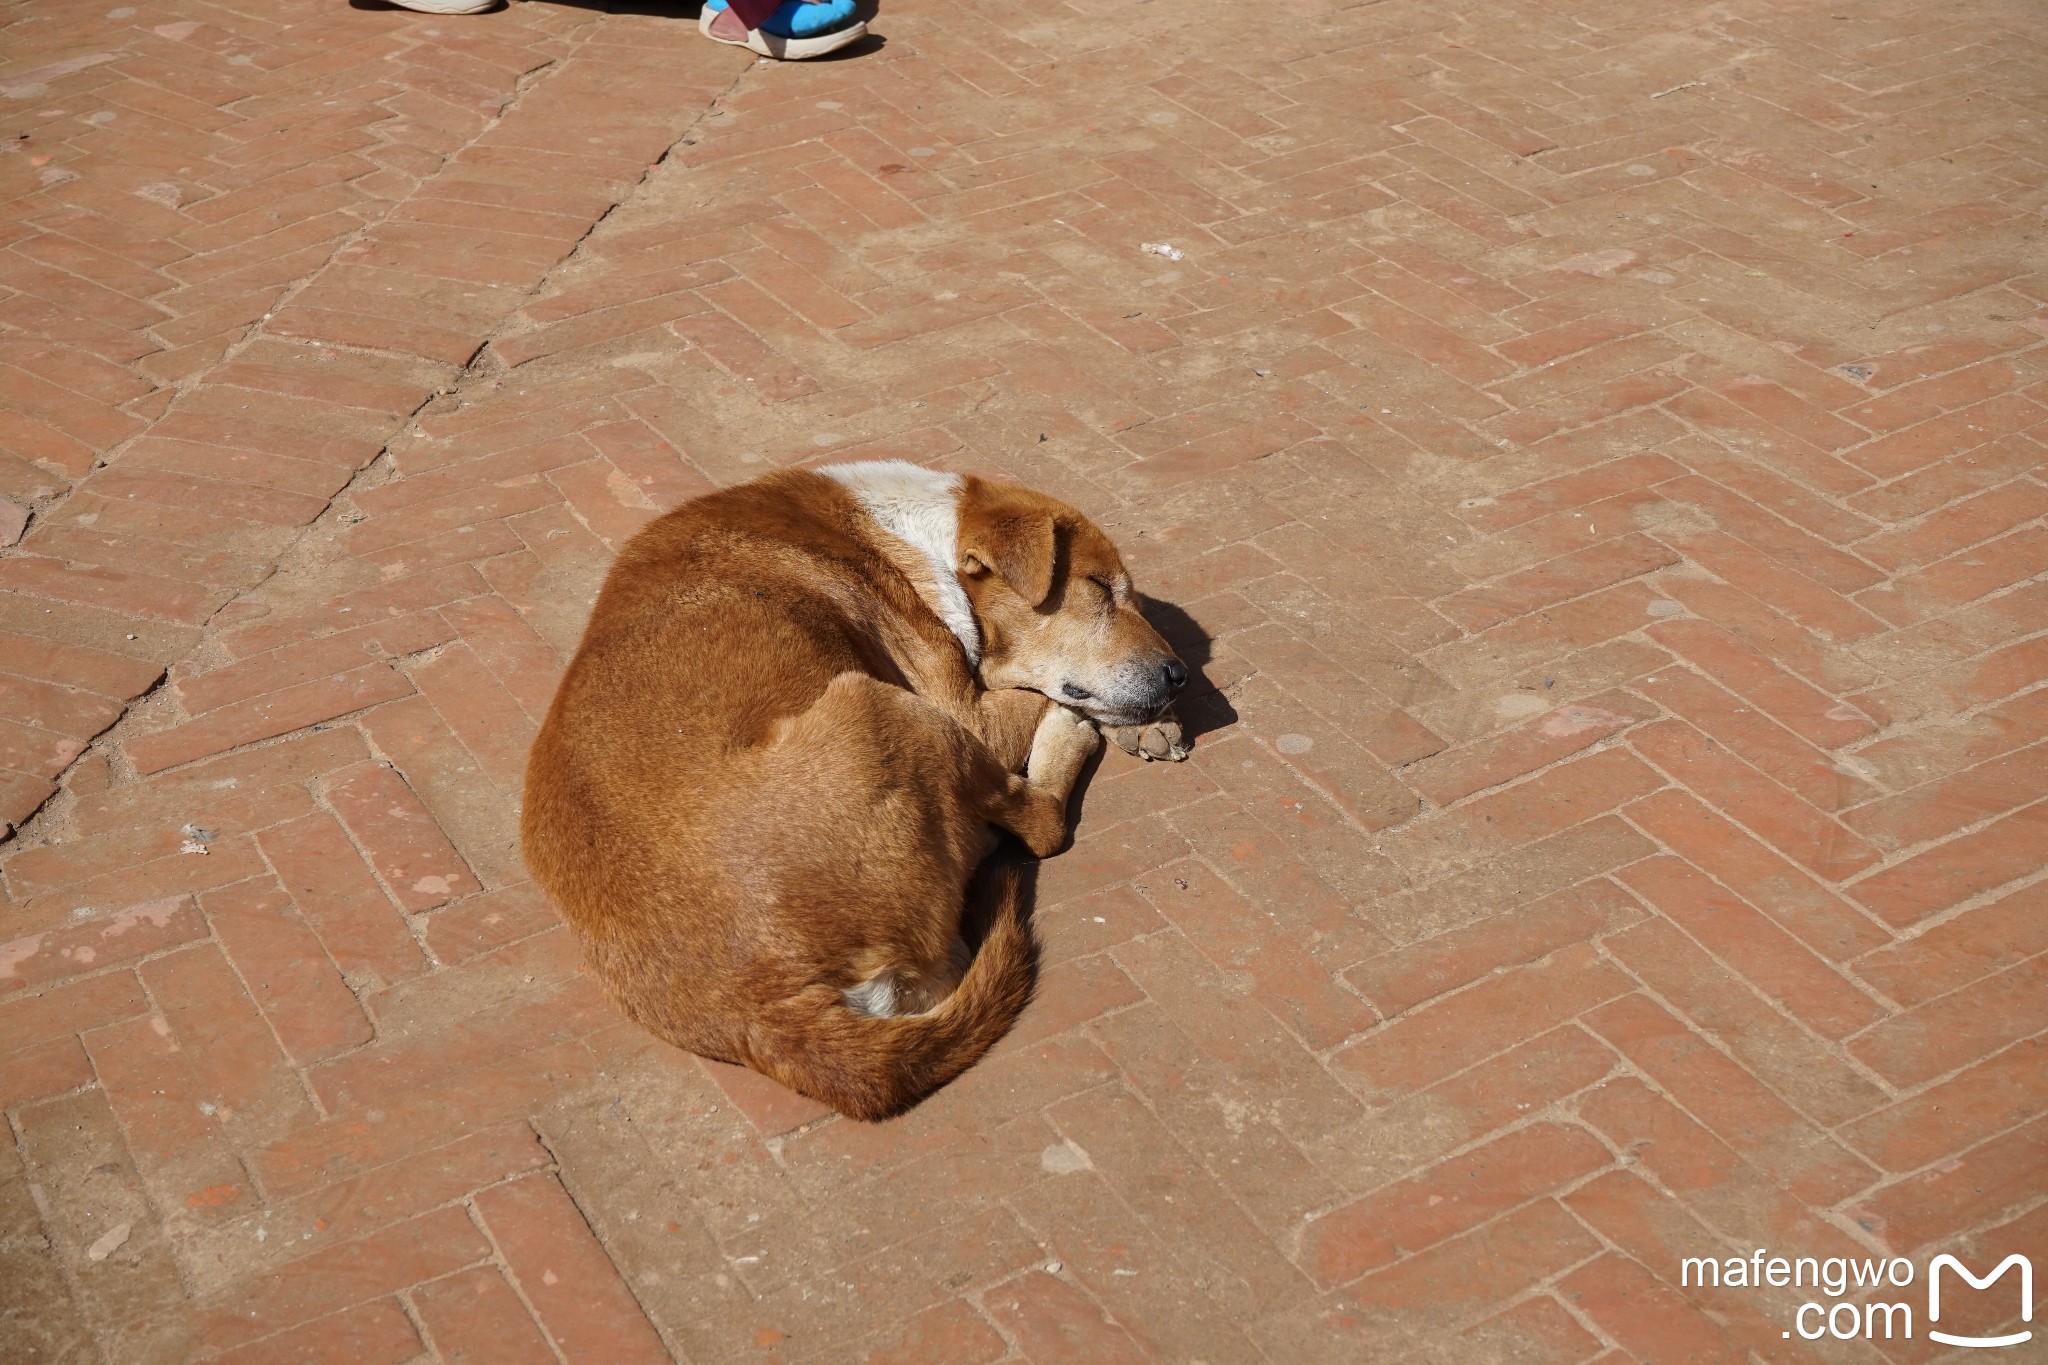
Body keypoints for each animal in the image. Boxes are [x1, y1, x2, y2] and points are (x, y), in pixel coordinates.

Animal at [524, 458, 1187, 1121]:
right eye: (1098, 587)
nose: (1179, 674)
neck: (920, 542)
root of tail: (766, 1014)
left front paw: (1151, 726)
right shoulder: (966, 713)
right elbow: (1039, 698)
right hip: (886, 705)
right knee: (1041, 823)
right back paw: (1064, 743)